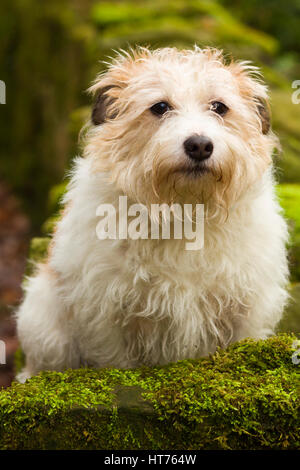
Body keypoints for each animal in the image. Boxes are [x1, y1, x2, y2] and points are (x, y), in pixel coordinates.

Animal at [15, 46, 290, 382]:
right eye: (159, 107)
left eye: (219, 107)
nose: (200, 145)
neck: (185, 210)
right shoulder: (104, 318)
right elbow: (115, 363)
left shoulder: (247, 311)